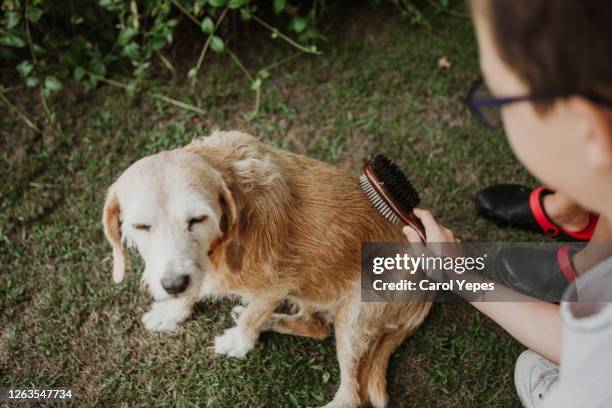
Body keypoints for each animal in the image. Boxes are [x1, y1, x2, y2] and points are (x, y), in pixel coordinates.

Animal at [103, 131, 432, 408]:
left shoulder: (275, 287)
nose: (173, 284)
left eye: (197, 219)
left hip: (354, 319)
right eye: (141, 226)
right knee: (316, 327)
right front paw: (173, 311)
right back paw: (274, 321)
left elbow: (253, 316)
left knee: (352, 395)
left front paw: (240, 341)